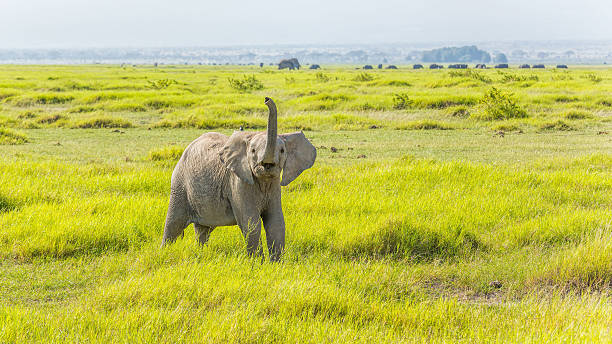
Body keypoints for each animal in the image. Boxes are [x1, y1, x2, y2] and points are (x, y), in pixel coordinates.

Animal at [163, 97, 316, 260]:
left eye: (282, 151)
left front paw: (276, 263)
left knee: (203, 229)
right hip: (179, 183)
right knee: (173, 225)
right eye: (253, 151)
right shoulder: (237, 183)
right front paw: (258, 263)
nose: (266, 99)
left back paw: (201, 253)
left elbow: (276, 222)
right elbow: (251, 222)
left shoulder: (274, 184)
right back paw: (164, 252)